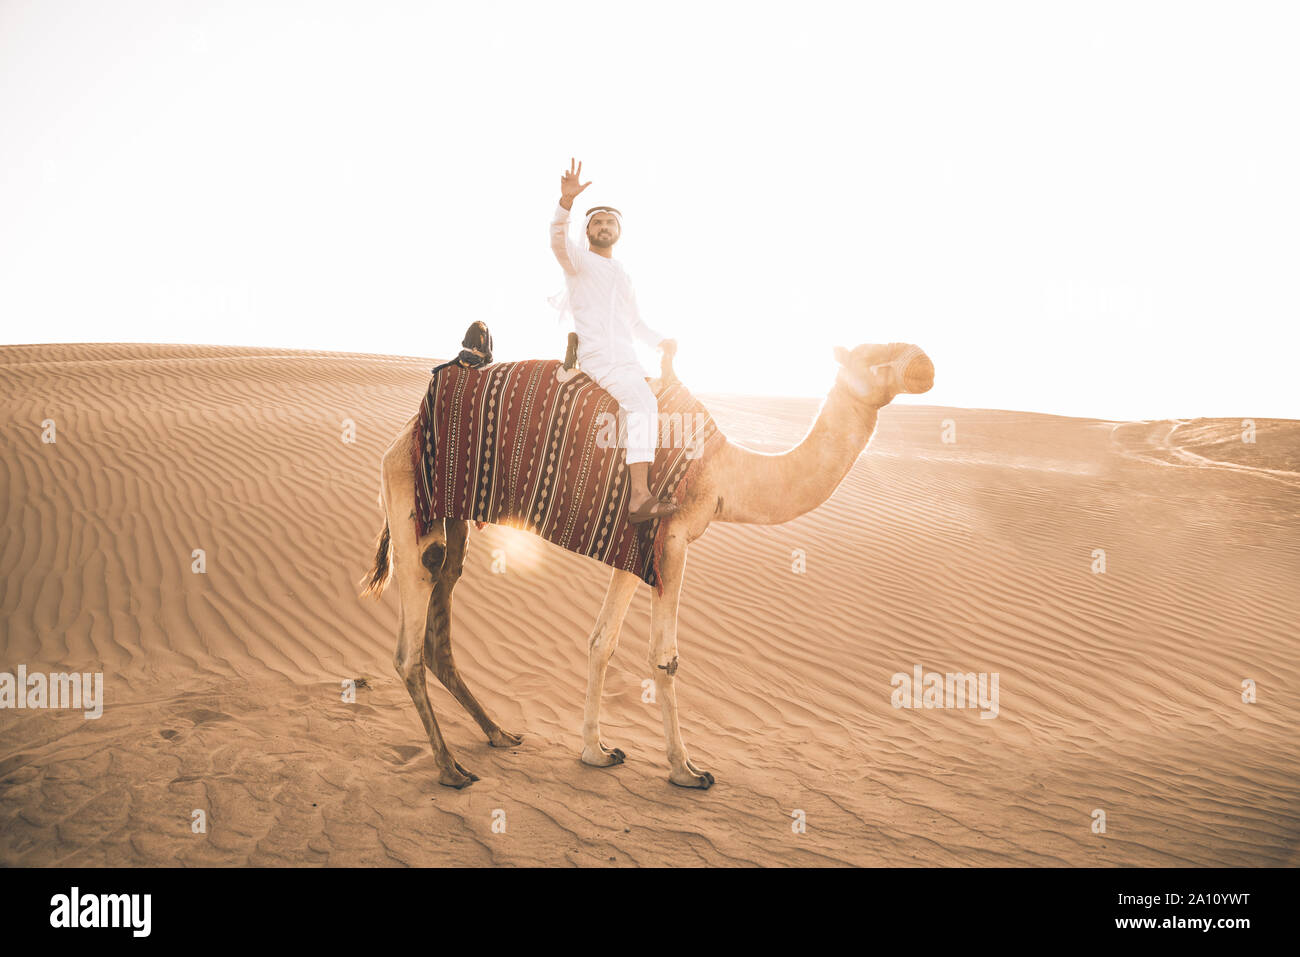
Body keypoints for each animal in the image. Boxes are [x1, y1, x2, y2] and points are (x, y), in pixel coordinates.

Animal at [364, 340, 935, 790]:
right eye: (874, 355)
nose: (925, 363)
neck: (725, 474)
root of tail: (400, 437)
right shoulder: (674, 540)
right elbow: (665, 658)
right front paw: (686, 769)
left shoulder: (635, 548)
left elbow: (602, 641)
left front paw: (596, 752)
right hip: (412, 508)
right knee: (408, 647)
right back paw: (450, 767)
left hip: (451, 521)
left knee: (440, 621)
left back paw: (499, 733)